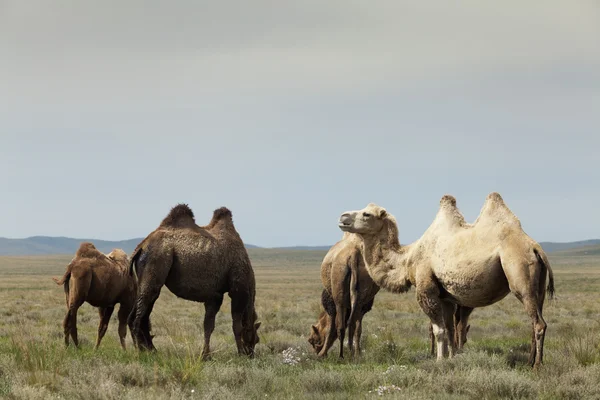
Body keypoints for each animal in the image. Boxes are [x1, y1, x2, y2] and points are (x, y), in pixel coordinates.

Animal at [127, 203, 258, 356]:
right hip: (155, 262)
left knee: (140, 313)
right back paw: (140, 352)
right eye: (256, 339)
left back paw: (151, 350)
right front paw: (240, 353)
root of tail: (141, 246)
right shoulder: (238, 289)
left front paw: (205, 355)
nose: (252, 354)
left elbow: (208, 325)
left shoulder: (215, 295)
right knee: (139, 315)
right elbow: (236, 325)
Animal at [340, 192, 556, 368]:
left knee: (538, 323)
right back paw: (530, 361)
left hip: (520, 276)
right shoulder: (446, 297)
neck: (409, 258)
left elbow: (439, 330)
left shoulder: (426, 289)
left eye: (367, 214)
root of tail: (535, 248)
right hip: (538, 289)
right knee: (535, 321)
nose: (342, 218)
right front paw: (453, 358)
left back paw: (537, 366)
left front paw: (439, 361)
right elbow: (451, 330)